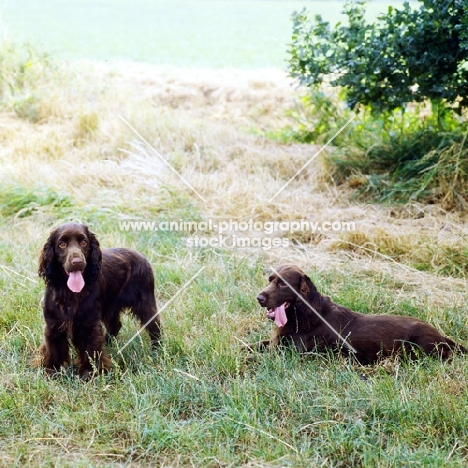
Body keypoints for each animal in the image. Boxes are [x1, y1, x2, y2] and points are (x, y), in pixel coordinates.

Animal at [33, 221, 160, 378]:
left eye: (84, 242)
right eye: (62, 244)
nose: (77, 262)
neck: (70, 293)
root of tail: (141, 255)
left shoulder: (89, 323)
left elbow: (91, 349)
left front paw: (89, 373)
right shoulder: (53, 323)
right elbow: (53, 349)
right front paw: (52, 371)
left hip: (145, 303)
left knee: (155, 326)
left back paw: (157, 350)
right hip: (111, 306)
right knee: (115, 325)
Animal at [254, 266, 466, 362]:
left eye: (283, 284)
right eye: (270, 279)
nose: (259, 298)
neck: (306, 314)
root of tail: (442, 336)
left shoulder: (287, 352)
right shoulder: (277, 343)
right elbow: (252, 346)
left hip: (418, 347)